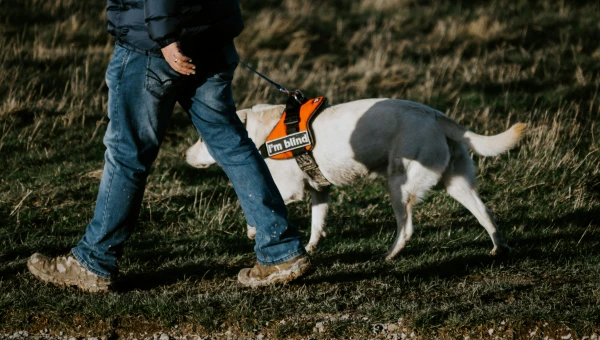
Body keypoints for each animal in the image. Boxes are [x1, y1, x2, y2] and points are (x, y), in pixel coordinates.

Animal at [184, 98, 524, 260]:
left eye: (202, 138)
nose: (185, 155)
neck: (259, 133)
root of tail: (436, 115)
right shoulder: (319, 191)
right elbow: (317, 224)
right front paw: (310, 248)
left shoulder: (287, 189)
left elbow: (254, 205)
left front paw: (254, 230)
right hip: (457, 183)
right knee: (485, 213)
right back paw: (499, 248)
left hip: (399, 185)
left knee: (406, 227)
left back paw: (389, 254)